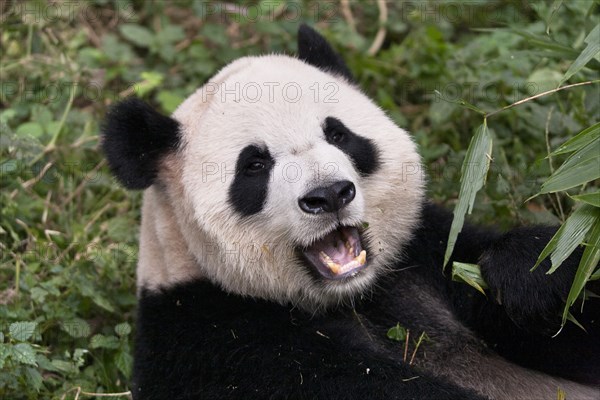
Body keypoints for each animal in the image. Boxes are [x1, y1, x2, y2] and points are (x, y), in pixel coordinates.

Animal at [101, 25, 596, 400]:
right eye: (254, 165)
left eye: (338, 134)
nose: (330, 195)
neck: (354, 295)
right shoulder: (216, 340)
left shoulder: (426, 253)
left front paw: (531, 269)